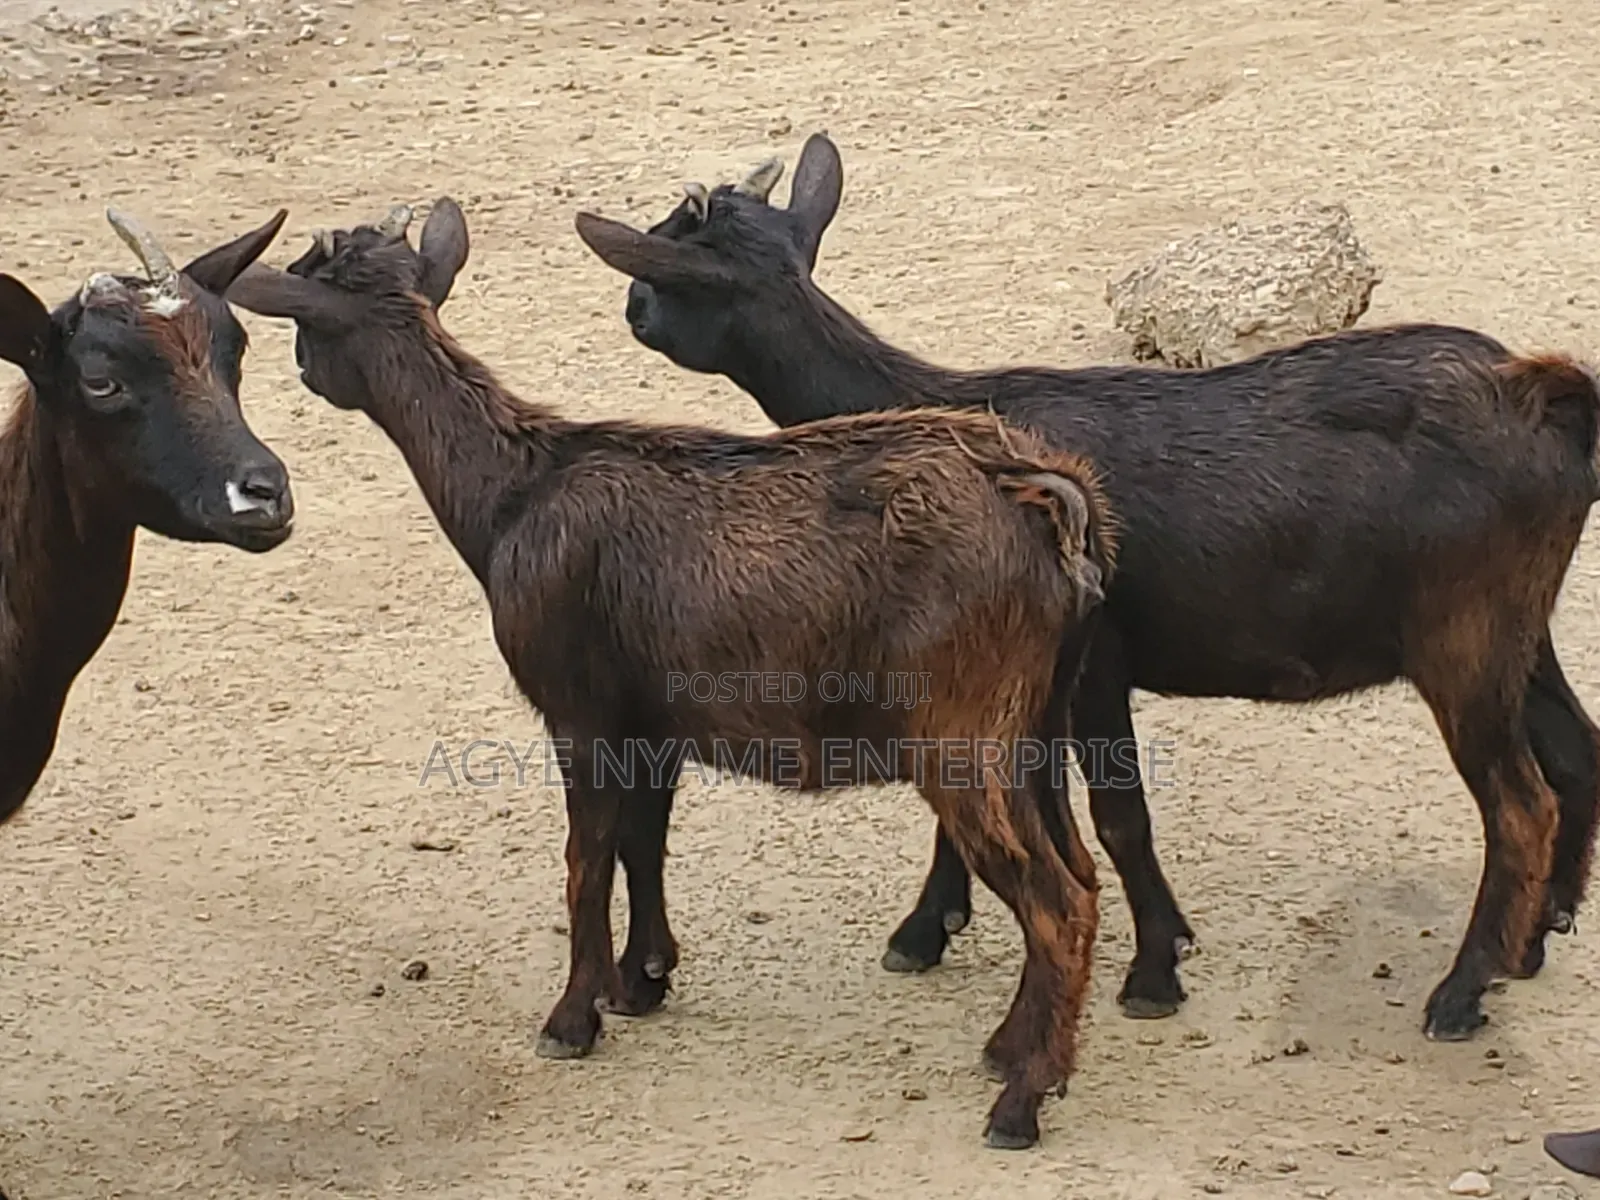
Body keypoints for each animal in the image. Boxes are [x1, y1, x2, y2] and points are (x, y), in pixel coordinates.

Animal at [224, 197, 1114, 1150]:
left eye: (309, 306)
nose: (300, 367)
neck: (515, 494)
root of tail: (1047, 502)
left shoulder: (577, 711)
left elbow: (585, 860)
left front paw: (572, 1019)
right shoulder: (650, 721)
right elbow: (641, 842)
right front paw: (643, 979)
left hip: (961, 734)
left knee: (1057, 902)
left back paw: (1020, 1101)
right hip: (1037, 723)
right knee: (1081, 875)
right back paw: (1017, 1050)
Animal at [572, 132, 1600, 1044]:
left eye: (671, 262)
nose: (630, 305)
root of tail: (1540, 391)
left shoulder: (1094, 662)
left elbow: (1119, 816)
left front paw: (1153, 971)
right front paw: (931, 929)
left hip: (1463, 637)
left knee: (1521, 805)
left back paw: (1460, 993)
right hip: (1519, 627)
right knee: (1576, 750)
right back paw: (1533, 943)